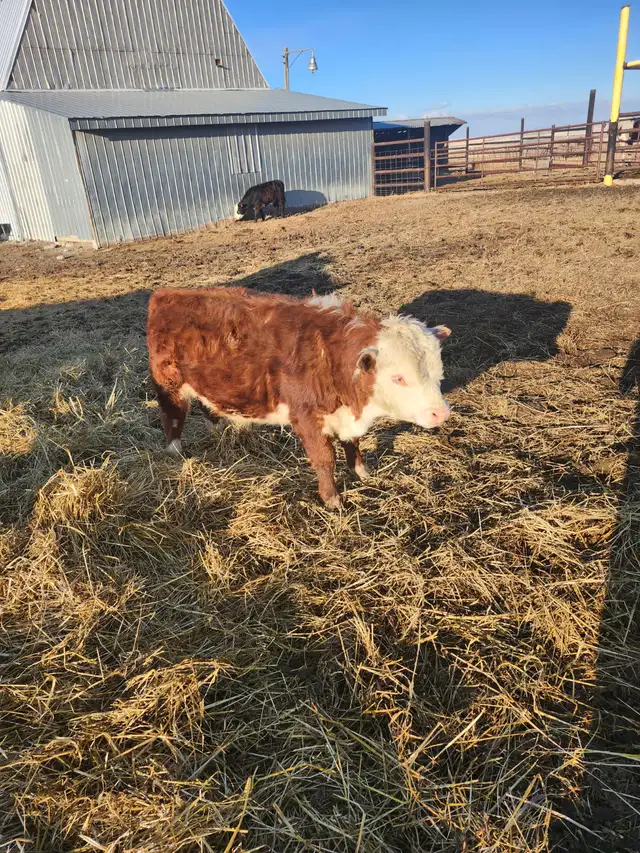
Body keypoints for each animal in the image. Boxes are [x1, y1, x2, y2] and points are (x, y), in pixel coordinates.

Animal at [147, 287, 451, 508]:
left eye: (438, 368)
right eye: (398, 377)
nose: (441, 413)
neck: (331, 357)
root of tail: (166, 293)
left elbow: (353, 444)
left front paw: (362, 473)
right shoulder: (306, 417)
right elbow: (325, 460)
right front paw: (332, 500)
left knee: (208, 408)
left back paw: (219, 431)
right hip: (169, 385)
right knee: (172, 416)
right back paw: (176, 452)